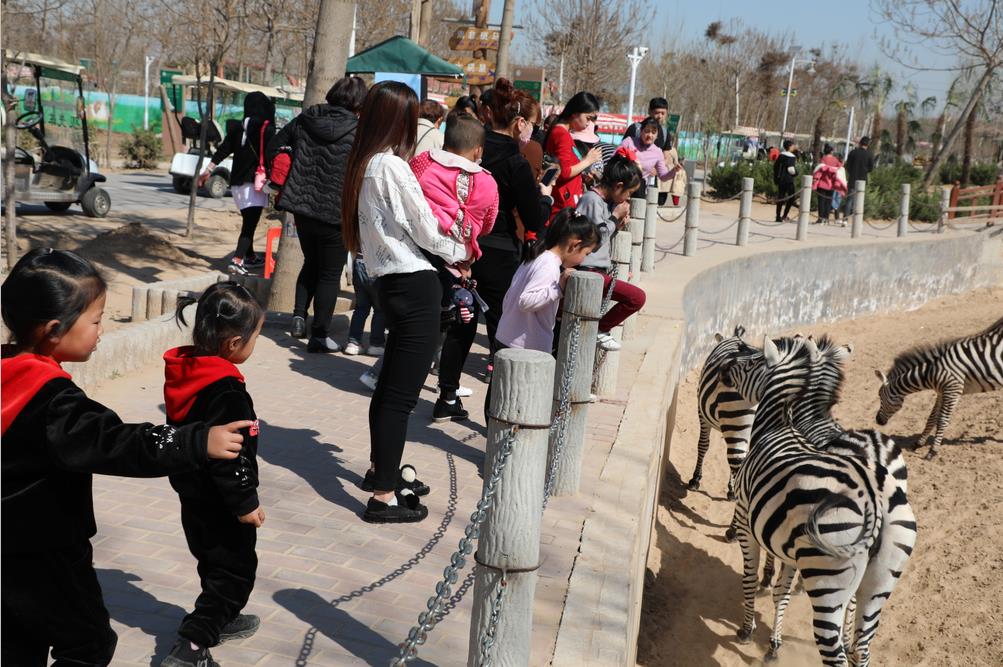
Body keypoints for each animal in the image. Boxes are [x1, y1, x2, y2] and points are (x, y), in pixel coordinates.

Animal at [722, 339, 918, 665]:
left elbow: (750, 577)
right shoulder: (789, 545)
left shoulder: (745, 519)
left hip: (829, 573)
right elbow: (781, 593)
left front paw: (748, 628)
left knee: (834, 648)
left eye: (750, 362)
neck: (782, 423)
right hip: (881, 579)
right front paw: (774, 641)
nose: (724, 367)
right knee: (862, 644)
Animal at [874, 312, 998, 457]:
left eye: (880, 396)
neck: (930, 371)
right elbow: (931, 418)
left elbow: (942, 420)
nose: (877, 420)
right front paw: (918, 444)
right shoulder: (941, 392)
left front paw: (932, 451)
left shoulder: (952, 390)